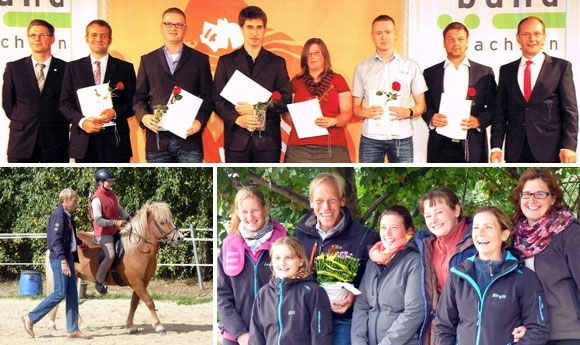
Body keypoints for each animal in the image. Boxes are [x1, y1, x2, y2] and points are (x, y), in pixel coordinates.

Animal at [46, 202, 185, 334]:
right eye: (162, 222)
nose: (180, 238)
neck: (138, 249)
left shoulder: (143, 282)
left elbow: (134, 304)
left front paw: (130, 326)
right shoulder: (137, 283)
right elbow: (149, 302)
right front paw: (159, 326)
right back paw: (80, 325)